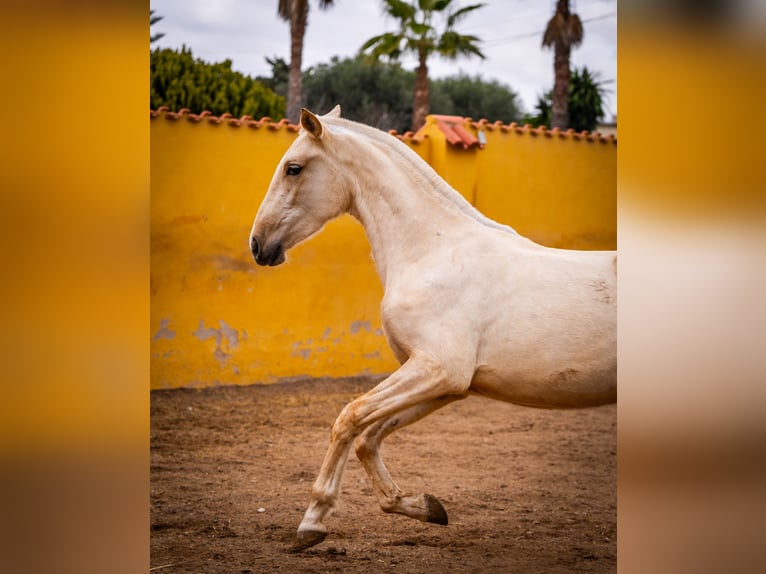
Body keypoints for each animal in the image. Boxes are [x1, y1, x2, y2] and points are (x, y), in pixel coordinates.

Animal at [252, 107, 616, 552]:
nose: (258, 245)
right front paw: (424, 507)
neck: (433, 250)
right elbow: (368, 438)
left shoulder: (437, 369)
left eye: (294, 168)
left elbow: (349, 419)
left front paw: (313, 522)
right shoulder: (449, 385)